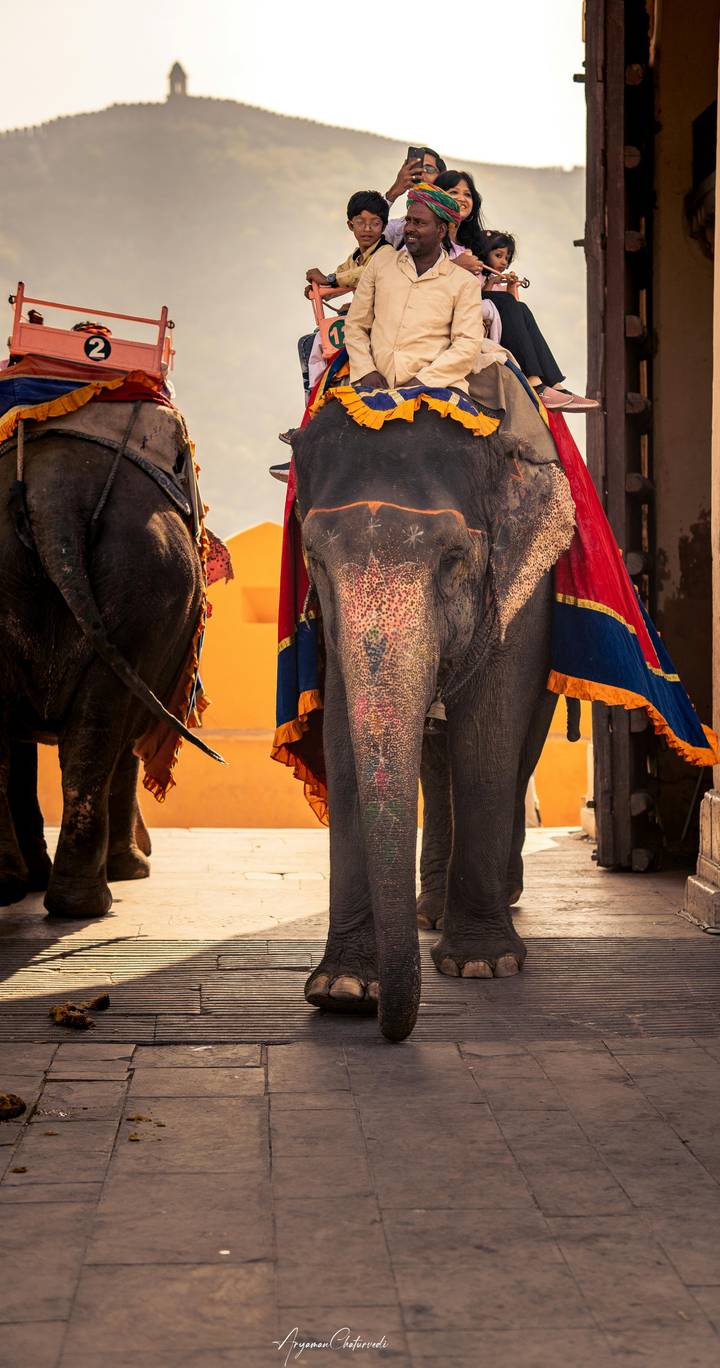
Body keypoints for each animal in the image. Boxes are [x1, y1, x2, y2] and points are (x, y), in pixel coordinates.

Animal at [0, 429, 219, 920]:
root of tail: (53, 496)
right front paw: (133, 870)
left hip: (137, 580)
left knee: (95, 727)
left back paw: (53, 897)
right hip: (145, 579)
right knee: (102, 732)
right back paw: (85, 899)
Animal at [292, 392, 575, 1041]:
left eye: (452, 558)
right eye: (314, 558)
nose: (390, 1028)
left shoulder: (524, 593)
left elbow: (490, 735)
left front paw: (482, 965)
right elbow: (344, 738)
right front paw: (343, 989)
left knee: (517, 752)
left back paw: (498, 896)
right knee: (434, 760)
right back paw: (430, 913)